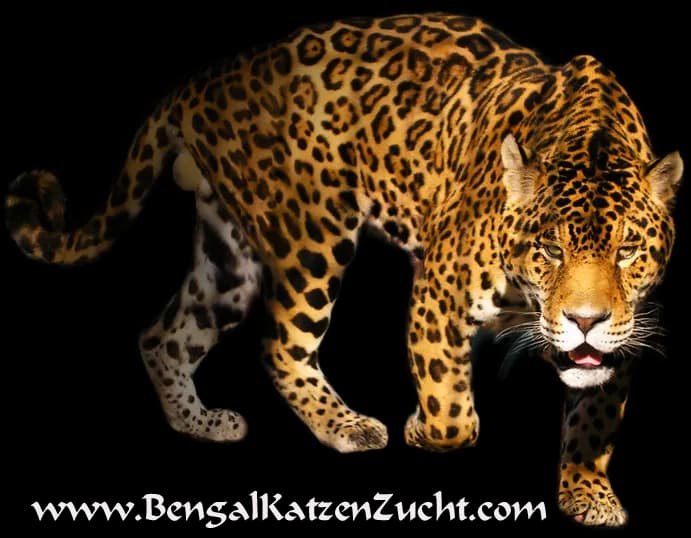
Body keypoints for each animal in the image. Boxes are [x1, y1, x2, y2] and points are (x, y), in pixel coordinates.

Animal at [5, 13, 682, 527]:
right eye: (549, 250)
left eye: (626, 251)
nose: (586, 320)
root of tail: (209, 78)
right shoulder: (437, 292)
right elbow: (452, 413)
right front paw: (419, 430)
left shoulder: (627, 332)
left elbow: (594, 417)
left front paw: (587, 492)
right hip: (313, 235)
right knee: (280, 344)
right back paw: (347, 425)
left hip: (227, 260)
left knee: (163, 336)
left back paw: (201, 423)